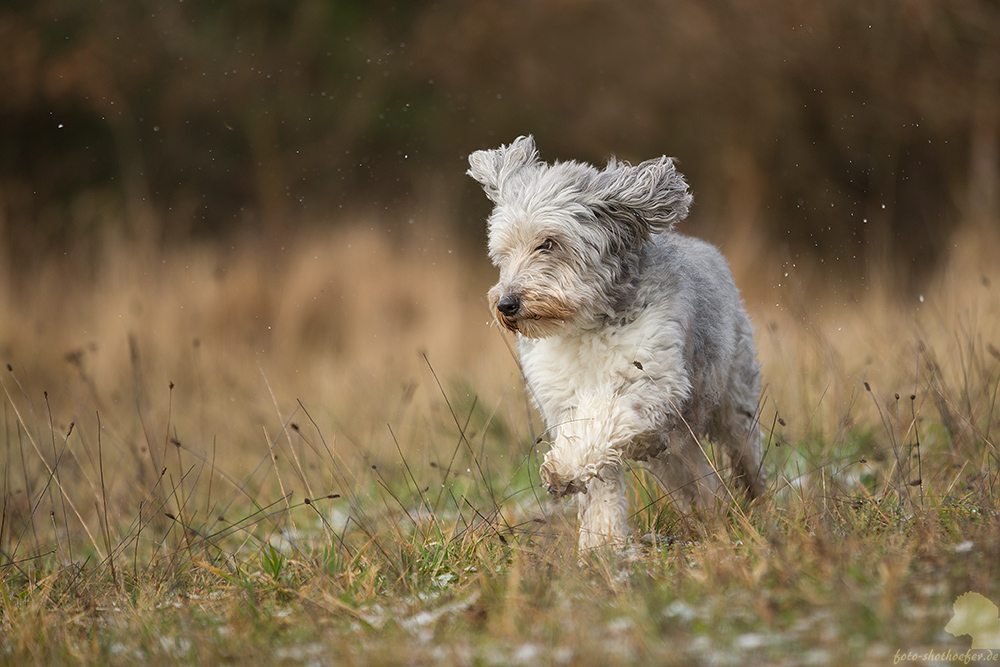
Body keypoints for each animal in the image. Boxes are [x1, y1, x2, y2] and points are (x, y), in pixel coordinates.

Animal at [468, 137, 764, 552]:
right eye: (503, 252)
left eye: (548, 243)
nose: (506, 304)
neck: (585, 328)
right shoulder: (563, 402)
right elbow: (600, 482)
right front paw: (601, 545)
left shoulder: (653, 383)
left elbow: (604, 418)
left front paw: (561, 470)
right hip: (670, 451)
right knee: (695, 479)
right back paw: (711, 513)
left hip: (733, 406)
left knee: (746, 456)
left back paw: (759, 507)